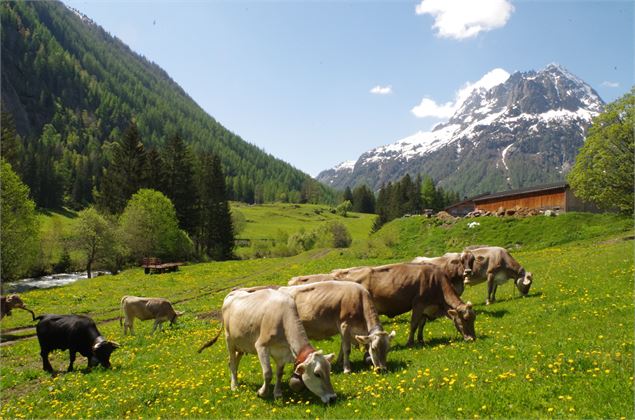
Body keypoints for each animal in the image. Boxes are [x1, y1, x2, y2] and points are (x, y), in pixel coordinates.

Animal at [199, 288, 338, 404]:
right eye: (317, 374)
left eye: (329, 370)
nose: (333, 398)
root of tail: (233, 292)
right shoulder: (261, 346)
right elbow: (268, 373)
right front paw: (262, 392)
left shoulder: (282, 352)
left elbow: (279, 373)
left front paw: (278, 393)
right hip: (229, 341)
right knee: (232, 363)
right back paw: (234, 386)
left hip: (242, 344)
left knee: (233, 362)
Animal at [246, 280, 396, 372]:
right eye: (374, 348)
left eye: (388, 349)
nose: (382, 369)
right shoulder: (344, 325)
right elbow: (347, 348)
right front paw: (347, 369)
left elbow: (342, 347)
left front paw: (339, 362)